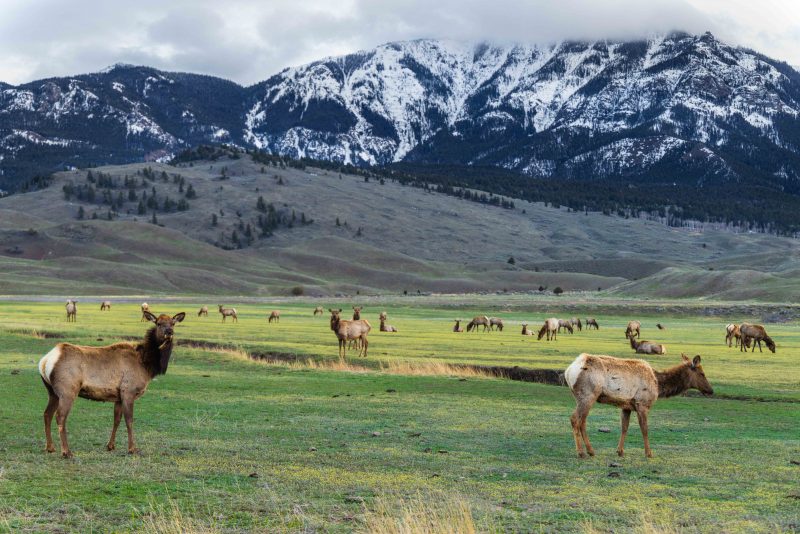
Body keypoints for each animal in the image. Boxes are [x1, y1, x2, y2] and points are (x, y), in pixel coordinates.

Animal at [38, 311, 186, 458]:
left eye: (173, 323)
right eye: (158, 323)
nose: (169, 332)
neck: (146, 364)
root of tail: (45, 361)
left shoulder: (118, 396)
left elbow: (117, 419)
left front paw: (110, 446)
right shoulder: (128, 390)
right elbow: (129, 420)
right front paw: (132, 448)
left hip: (52, 392)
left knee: (47, 414)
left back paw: (50, 447)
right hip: (67, 390)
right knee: (60, 416)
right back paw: (66, 451)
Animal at [565, 353, 713, 459]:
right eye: (702, 373)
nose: (711, 391)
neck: (658, 384)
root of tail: (568, 372)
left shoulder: (626, 405)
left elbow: (624, 427)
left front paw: (620, 451)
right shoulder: (642, 403)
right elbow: (645, 429)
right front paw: (649, 453)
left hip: (582, 397)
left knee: (582, 420)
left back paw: (590, 451)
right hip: (588, 394)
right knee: (575, 419)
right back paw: (581, 452)